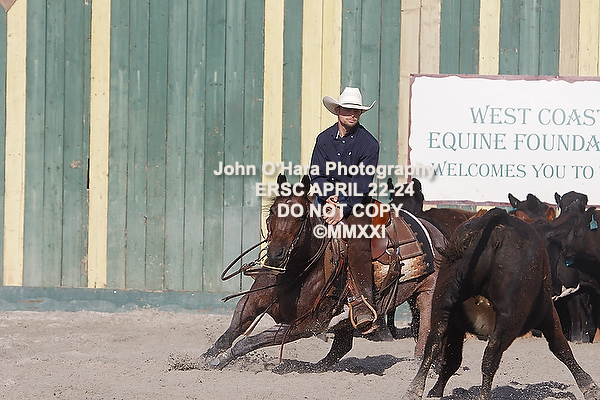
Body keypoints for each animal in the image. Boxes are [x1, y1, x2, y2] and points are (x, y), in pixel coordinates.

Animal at [202, 175, 446, 371]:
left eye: (300, 215)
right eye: (272, 211)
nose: (275, 254)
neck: (293, 274)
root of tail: (437, 234)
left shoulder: (304, 325)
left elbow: (247, 342)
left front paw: (218, 361)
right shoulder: (251, 302)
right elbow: (230, 333)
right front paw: (203, 358)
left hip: (427, 295)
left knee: (424, 333)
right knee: (341, 347)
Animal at [402, 208, 600, 400]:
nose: (560, 284)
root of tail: (498, 223)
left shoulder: (455, 324)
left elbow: (450, 358)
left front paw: (436, 391)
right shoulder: (546, 311)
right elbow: (561, 347)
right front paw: (589, 386)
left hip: (444, 302)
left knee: (434, 342)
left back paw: (413, 390)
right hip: (510, 317)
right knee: (490, 356)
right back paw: (483, 395)